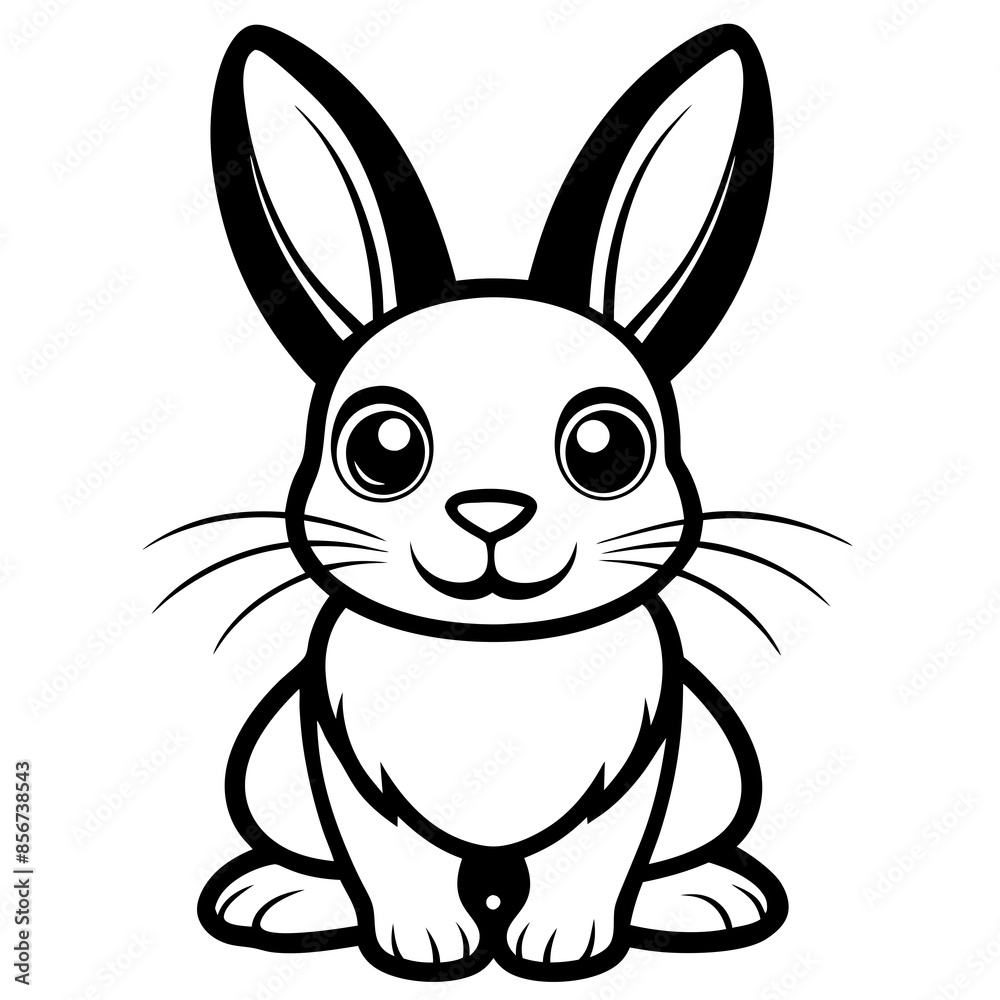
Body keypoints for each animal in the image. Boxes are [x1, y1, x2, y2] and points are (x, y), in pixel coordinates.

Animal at [153, 22, 841, 983]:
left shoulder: (631, 776)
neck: (493, 651)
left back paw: (706, 900)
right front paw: (423, 947)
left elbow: (592, 859)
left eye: (607, 447)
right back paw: (276, 900)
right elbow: (388, 859)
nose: (491, 513)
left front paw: (562, 948)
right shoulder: (349, 773)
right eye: (381, 447)